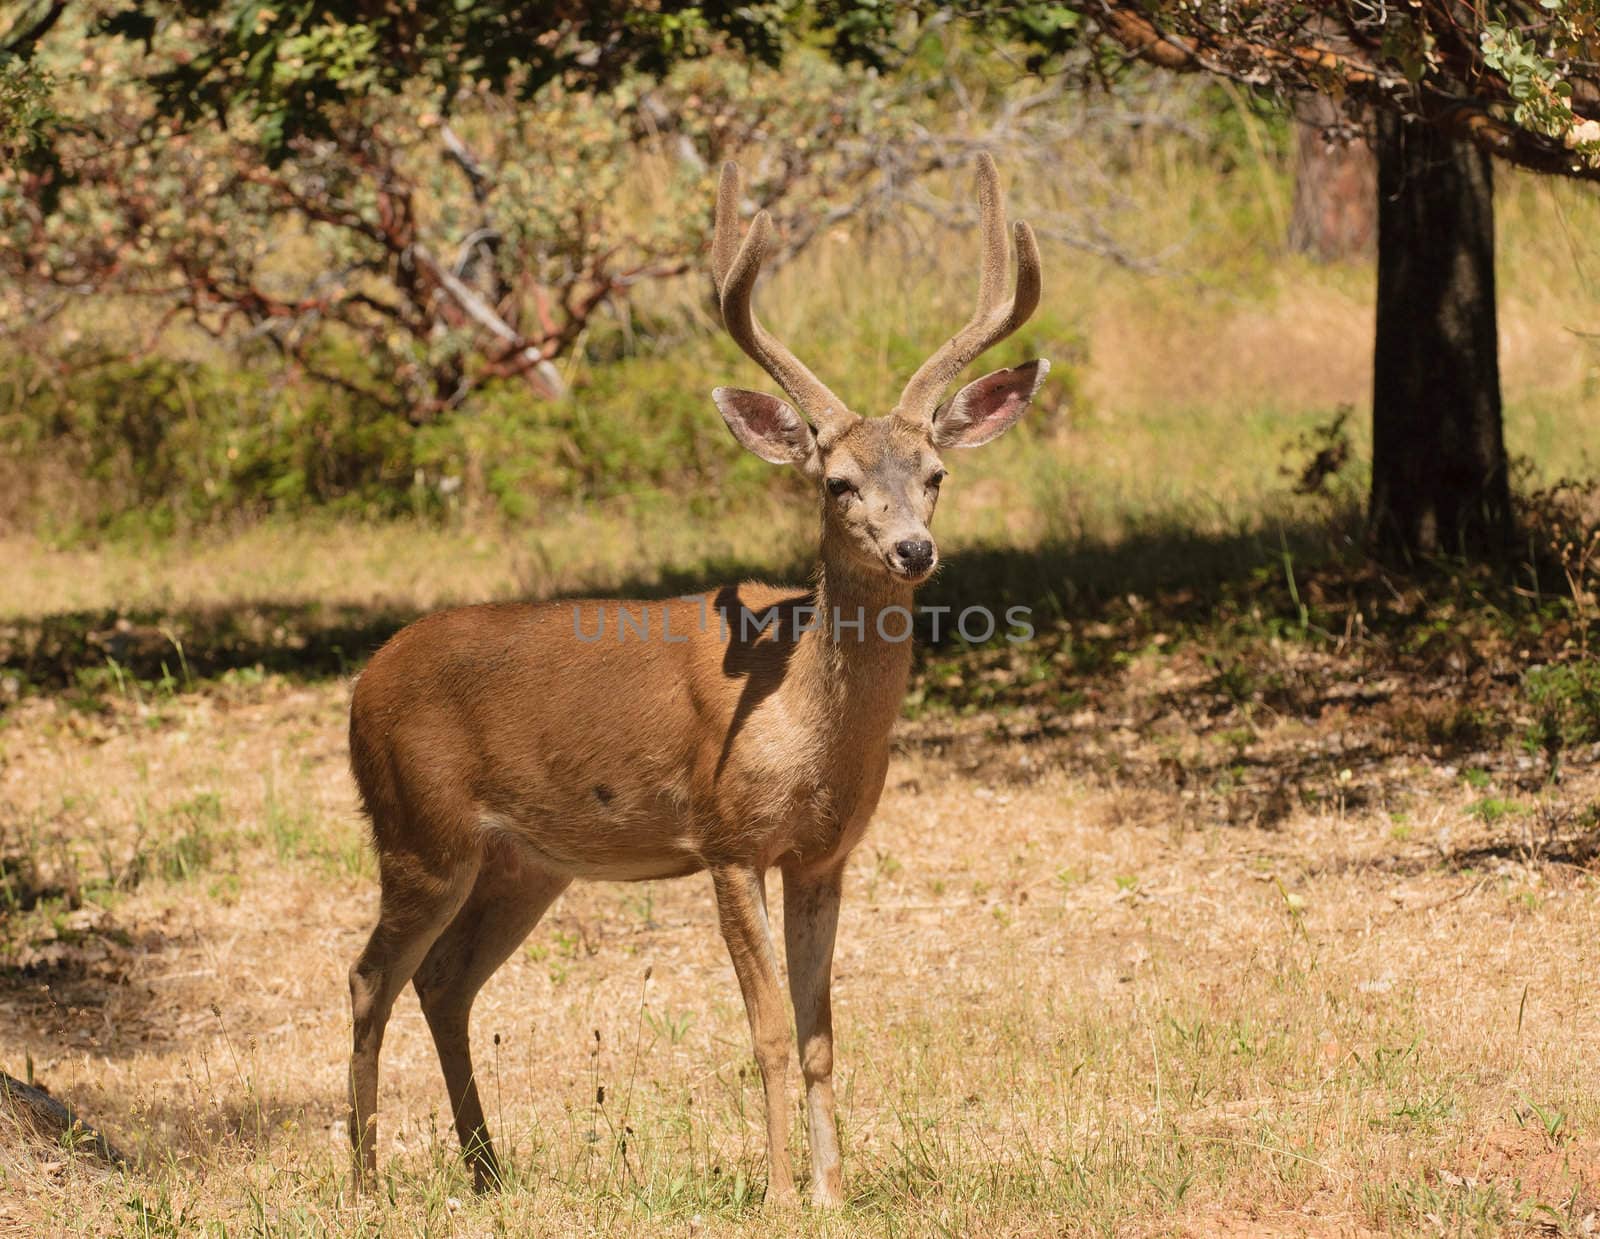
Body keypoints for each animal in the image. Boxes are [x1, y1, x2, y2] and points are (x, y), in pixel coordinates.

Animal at [347, 150, 1049, 1210]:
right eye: (836, 482)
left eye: (934, 473)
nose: (913, 549)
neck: (806, 721)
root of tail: (361, 686)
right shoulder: (726, 837)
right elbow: (766, 1030)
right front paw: (778, 1194)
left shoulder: (823, 854)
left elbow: (820, 1032)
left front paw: (833, 1191)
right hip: (416, 830)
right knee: (368, 975)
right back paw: (363, 1178)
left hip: (522, 861)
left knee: (445, 979)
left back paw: (487, 1169)